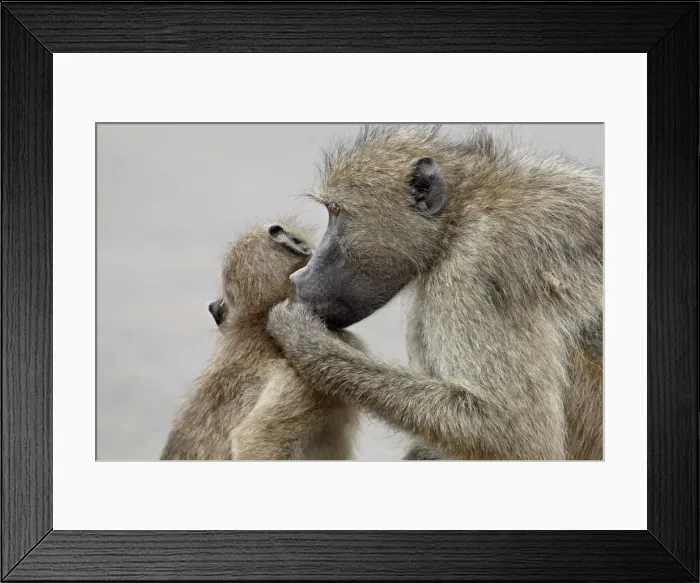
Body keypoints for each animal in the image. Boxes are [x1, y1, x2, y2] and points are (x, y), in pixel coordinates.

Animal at [266, 125, 603, 461]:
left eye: (336, 211)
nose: (299, 278)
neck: (459, 213)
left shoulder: (477, 269)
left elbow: (513, 434)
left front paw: (302, 337)